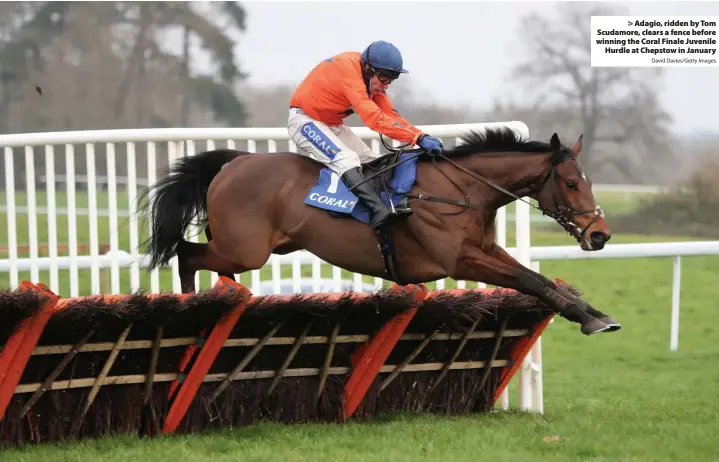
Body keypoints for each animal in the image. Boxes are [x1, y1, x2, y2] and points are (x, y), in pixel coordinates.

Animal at [139, 126, 620, 336]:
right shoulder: (459, 259)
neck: (461, 190)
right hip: (245, 249)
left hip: (249, 249)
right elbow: (529, 279)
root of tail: (234, 162)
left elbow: (538, 279)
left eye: (587, 180)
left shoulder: (484, 250)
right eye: (572, 183)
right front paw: (589, 318)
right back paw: (193, 308)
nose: (600, 235)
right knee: (187, 254)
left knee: (207, 263)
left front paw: (593, 313)